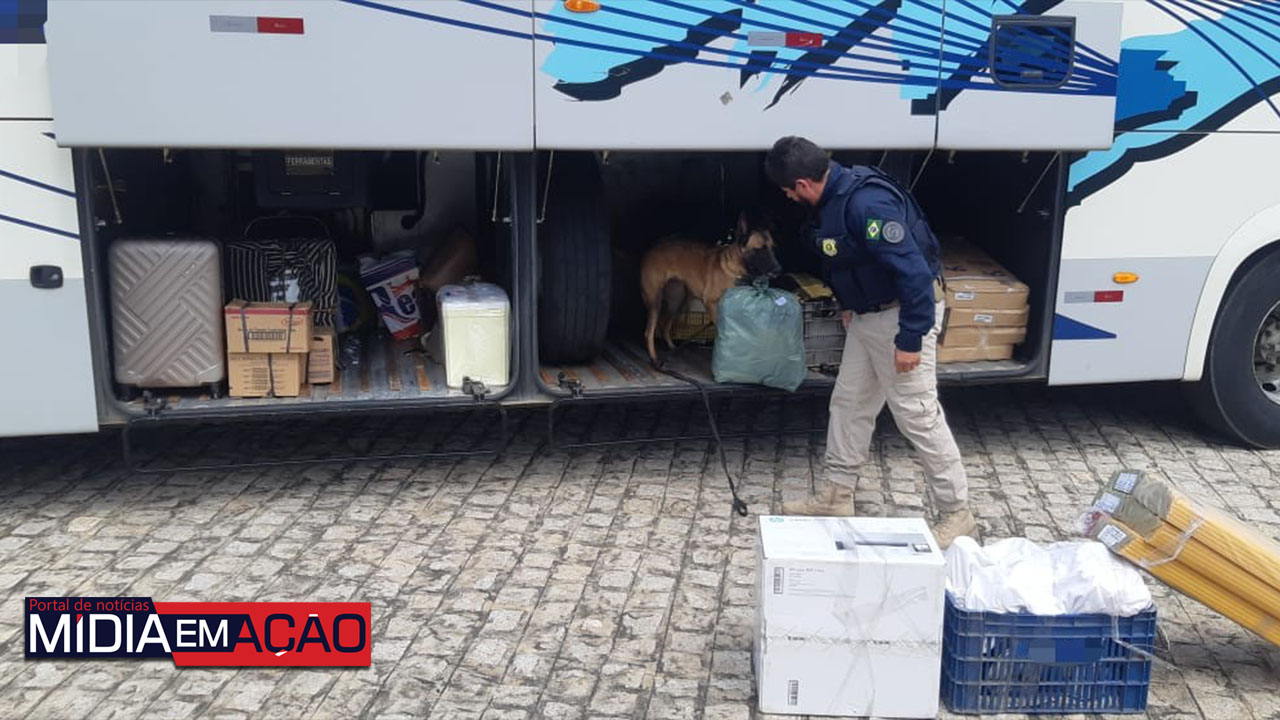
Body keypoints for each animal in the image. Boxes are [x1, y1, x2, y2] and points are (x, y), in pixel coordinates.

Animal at [640, 211, 778, 358]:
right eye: (760, 249)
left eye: (773, 248)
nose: (779, 269)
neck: (736, 270)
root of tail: (651, 248)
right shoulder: (711, 303)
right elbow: (721, 330)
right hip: (655, 301)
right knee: (648, 332)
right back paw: (654, 358)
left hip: (676, 302)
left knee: (665, 327)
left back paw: (672, 347)